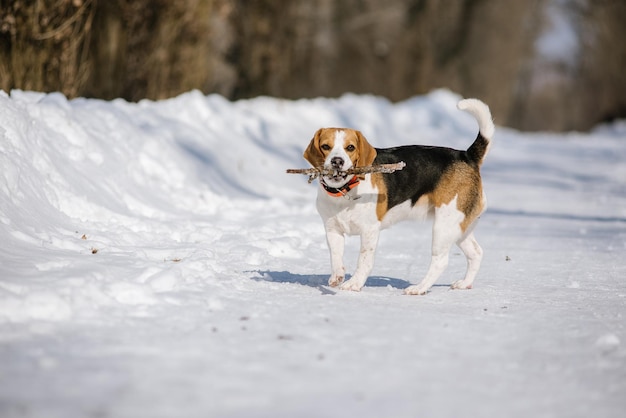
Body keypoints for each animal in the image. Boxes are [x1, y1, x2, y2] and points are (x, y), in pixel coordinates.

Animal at [302, 98, 492, 294]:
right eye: (325, 146)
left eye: (350, 147)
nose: (337, 161)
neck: (345, 191)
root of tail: (466, 155)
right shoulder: (333, 229)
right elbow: (336, 257)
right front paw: (337, 276)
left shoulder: (369, 230)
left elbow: (364, 261)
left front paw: (354, 283)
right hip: (460, 226)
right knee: (476, 253)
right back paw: (464, 283)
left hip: (444, 225)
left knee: (441, 261)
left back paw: (419, 288)